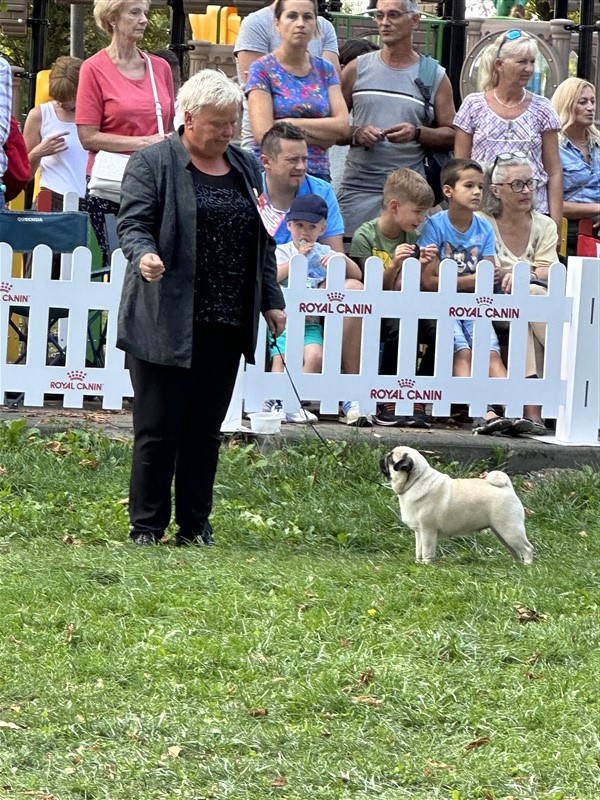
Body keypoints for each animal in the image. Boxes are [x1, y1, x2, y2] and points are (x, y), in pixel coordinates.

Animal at [380, 446, 534, 564]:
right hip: (501, 532)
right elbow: (419, 550)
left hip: (510, 530)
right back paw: (516, 565)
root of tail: (507, 487)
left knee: (527, 548)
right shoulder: (419, 532)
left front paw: (426, 565)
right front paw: (418, 563)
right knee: (514, 550)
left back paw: (527, 567)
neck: (416, 481)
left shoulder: (428, 531)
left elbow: (427, 550)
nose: (383, 456)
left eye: (390, 458)